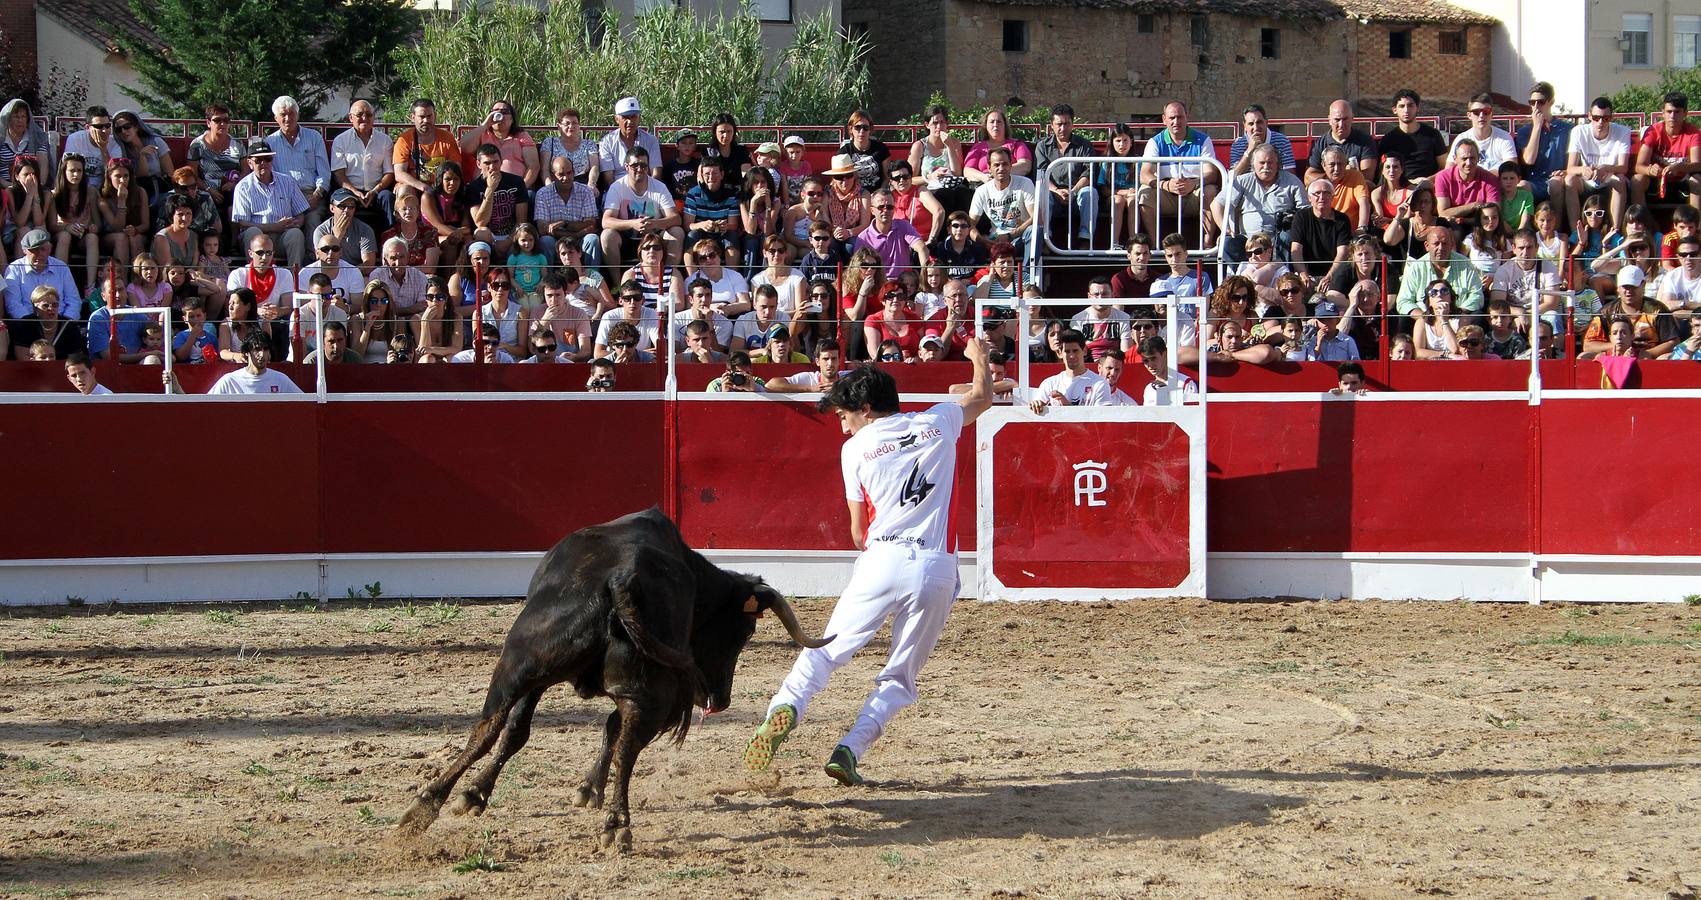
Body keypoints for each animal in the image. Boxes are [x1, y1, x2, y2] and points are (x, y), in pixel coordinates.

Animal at [392, 510, 830, 854]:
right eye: (743, 632)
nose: (720, 699)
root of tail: (620, 579)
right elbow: (592, 731)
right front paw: (588, 791)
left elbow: (530, 731)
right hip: (641, 693)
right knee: (620, 746)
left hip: (520, 665)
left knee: (488, 728)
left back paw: (426, 805)